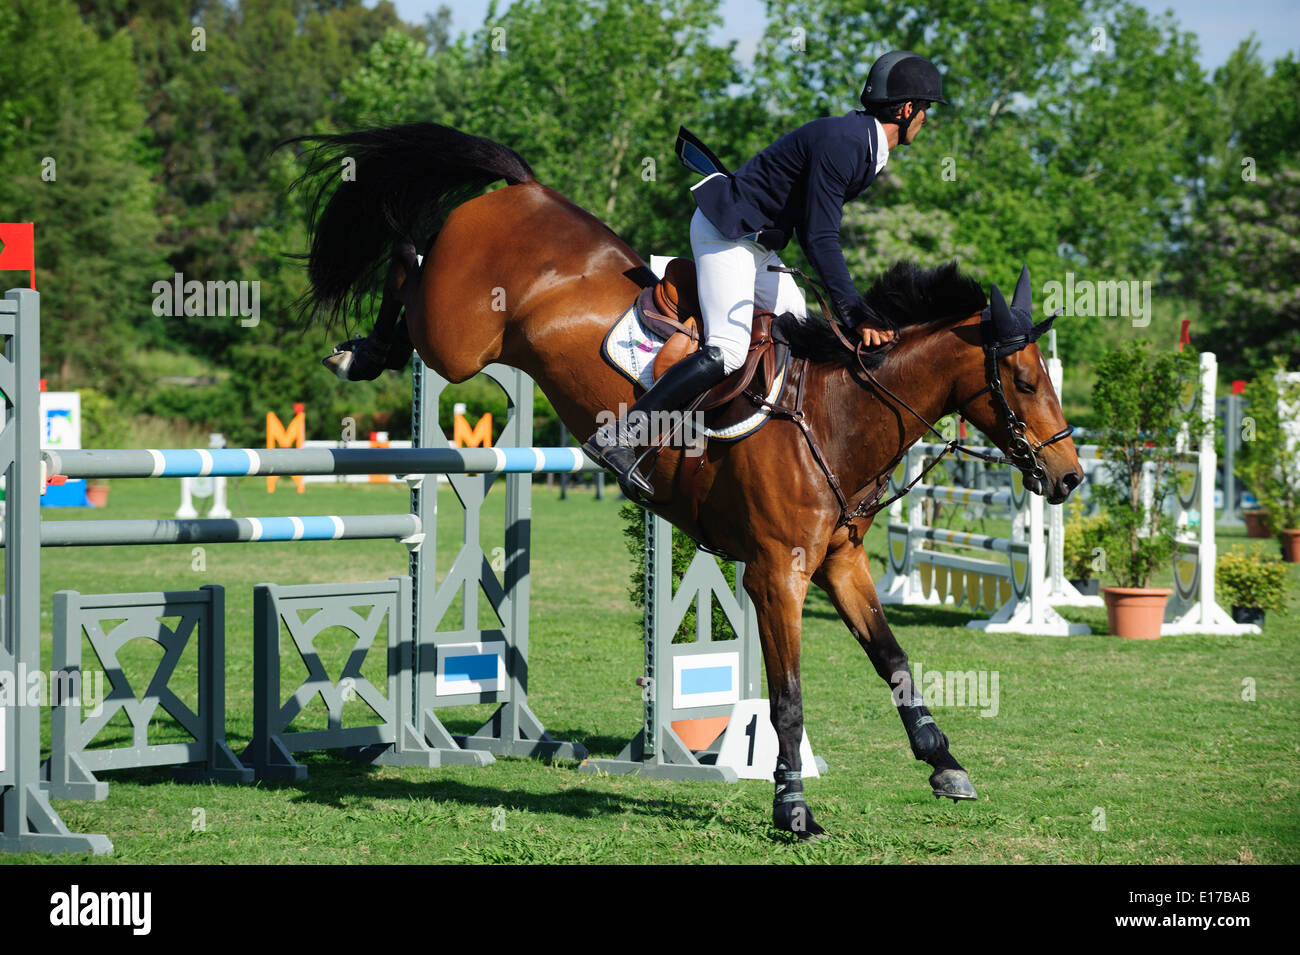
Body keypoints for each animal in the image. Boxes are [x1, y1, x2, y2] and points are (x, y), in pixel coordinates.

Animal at [290, 123, 1083, 840]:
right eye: (1023, 380)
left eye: (1047, 378)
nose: (1069, 477)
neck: (836, 415)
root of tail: (527, 189)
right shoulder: (777, 573)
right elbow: (788, 698)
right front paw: (793, 808)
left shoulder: (841, 561)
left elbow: (894, 659)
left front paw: (944, 764)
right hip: (457, 339)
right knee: (407, 259)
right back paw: (360, 348)